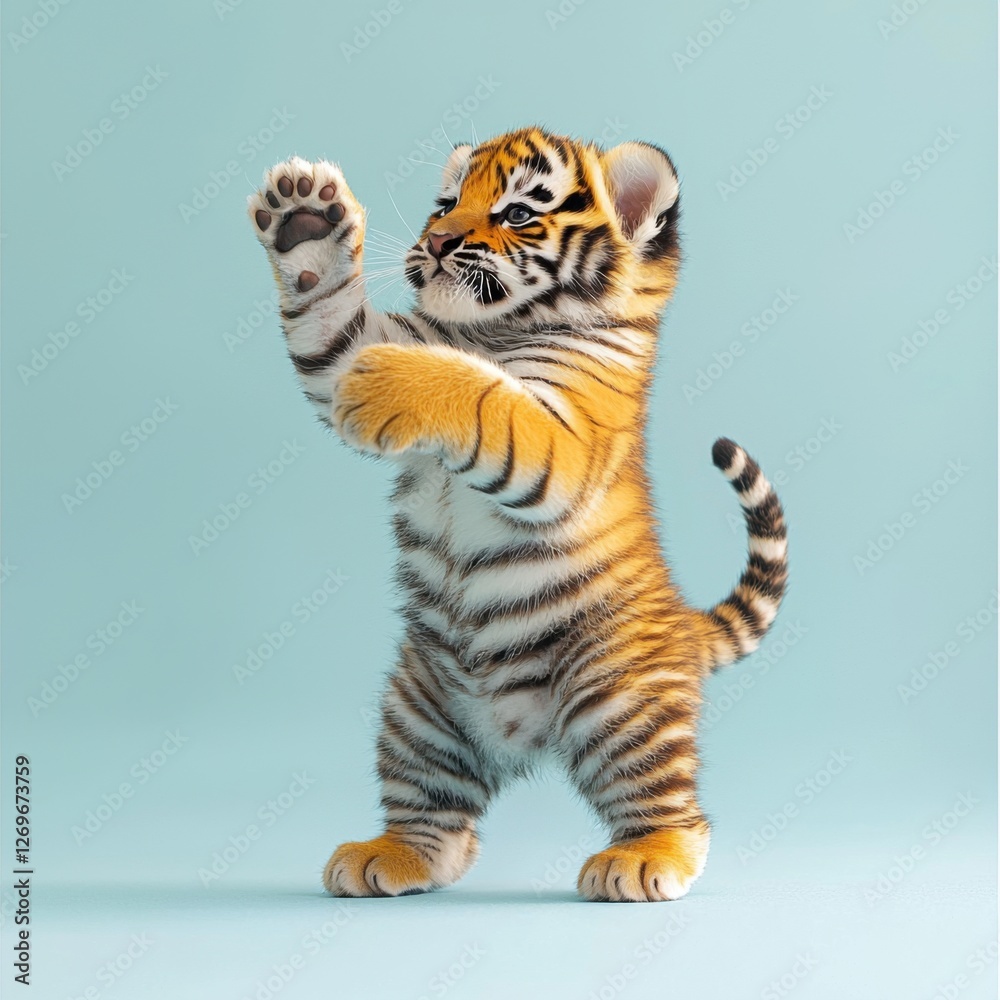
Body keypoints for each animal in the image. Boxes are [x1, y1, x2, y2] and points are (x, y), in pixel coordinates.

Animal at [247, 127, 788, 902]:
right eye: (446, 203)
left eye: (517, 215)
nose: (437, 240)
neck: (490, 333)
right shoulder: (375, 338)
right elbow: (332, 333)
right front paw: (304, 219)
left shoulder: (565, 440)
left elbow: (484, 395)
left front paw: (384, 381)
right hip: (418, 712)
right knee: (442, 823)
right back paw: (390, 856)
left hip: (618, 697)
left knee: (673, 805)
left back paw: (645, 857)